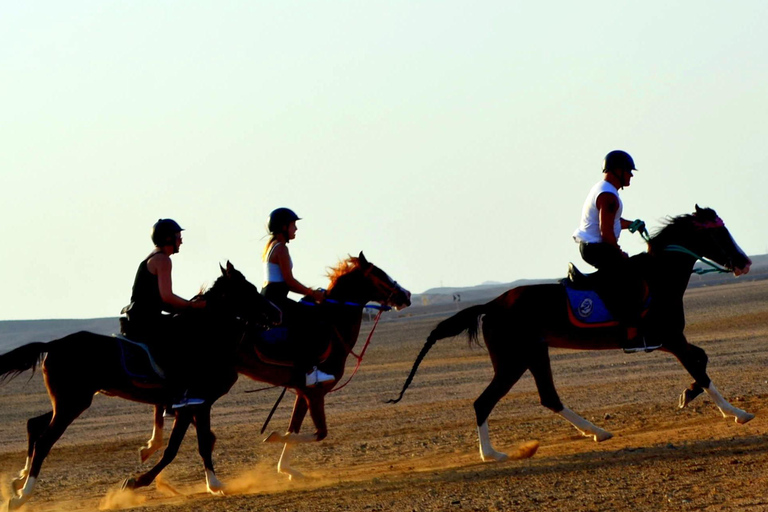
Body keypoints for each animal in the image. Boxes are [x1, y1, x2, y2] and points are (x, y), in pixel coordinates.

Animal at [0, 262, 282, 510]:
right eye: (248, 290)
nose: (277, 313)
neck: (201, 338)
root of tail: (53, 344)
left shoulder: (197, 405)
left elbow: (203, 441)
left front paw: (213, 484)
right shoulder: (192, 403)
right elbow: (177, 448)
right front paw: (137, 481)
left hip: (68, 401)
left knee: (34, 425)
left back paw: (18, 482)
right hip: (72, 403)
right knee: (44, 441)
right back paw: (22, 497)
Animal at [140, 254, 412, 482]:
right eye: (380, 274)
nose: (406, 295)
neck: (333, 326)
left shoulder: (304, 392)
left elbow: (296, 427)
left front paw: (287, 469)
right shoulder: (316, 392)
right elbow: (318, 433)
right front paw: (272, 438)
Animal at [392, 206, 752, 462]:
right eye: (720, 233)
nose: (745, 262)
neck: (659, 277)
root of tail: (492, 304)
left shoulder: (668, 340)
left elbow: (702, 360)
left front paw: (687, 395)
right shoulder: (670, 339)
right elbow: (702, 371)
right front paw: (736, 413)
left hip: (534, 354)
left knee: (548, 398)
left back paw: (597, 432)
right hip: (513, 361)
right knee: (484, 402)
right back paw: (492, 454)